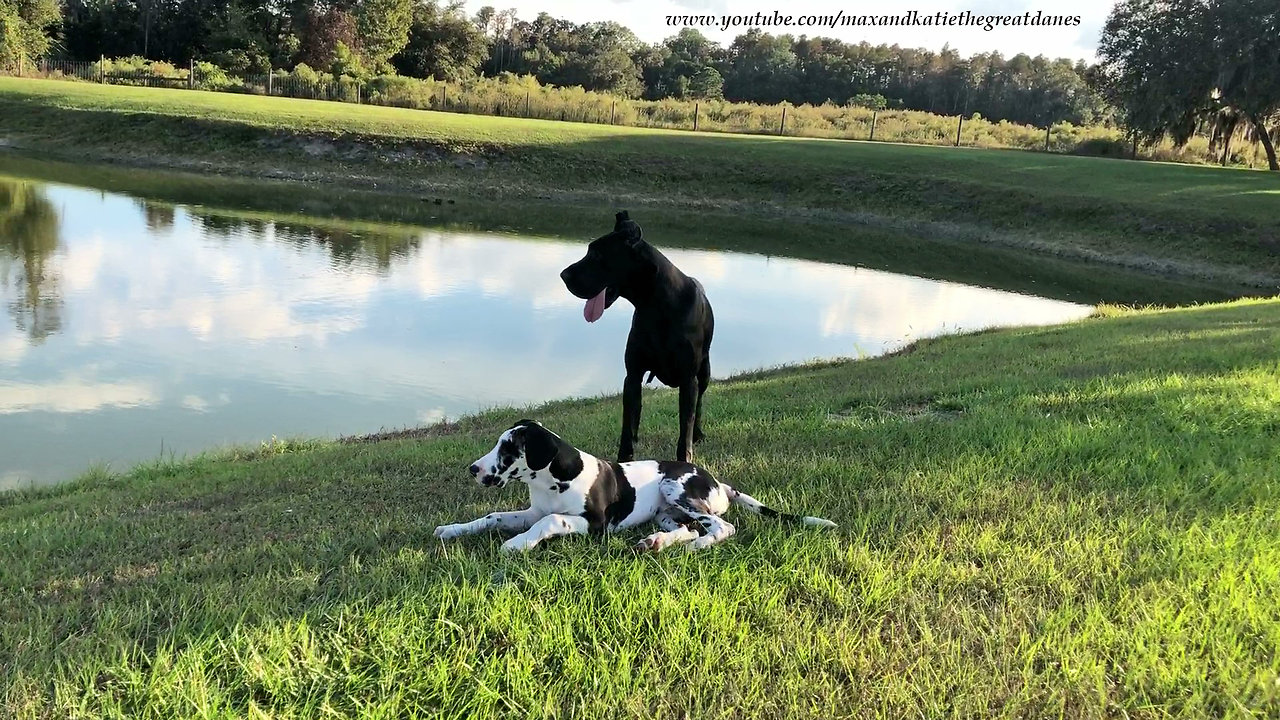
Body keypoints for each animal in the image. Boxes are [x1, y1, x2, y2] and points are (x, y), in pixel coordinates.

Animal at [435, 417, 834, 550]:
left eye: (508, 448)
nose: (473, 469)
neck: (554, 479)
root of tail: (720, 484)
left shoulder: (594, 524)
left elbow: (551, 521)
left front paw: (517, 544)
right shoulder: (530, 511)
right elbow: (493, 516)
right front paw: (453, 529)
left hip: (677, 488)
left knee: (721, 527)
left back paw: (697, 546)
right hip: (665, 513)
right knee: (689, 528)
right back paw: (656, 542)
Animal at [565, 210, 716, 461]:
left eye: (596, 254)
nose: (563, 275)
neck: (655, 305)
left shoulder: (688, 379)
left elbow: (686, 425)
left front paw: (685, 458)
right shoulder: (633, 375)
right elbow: (627, 424)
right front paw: (624, 459)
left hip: (704, 372)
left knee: (700, 405)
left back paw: (698, 433)